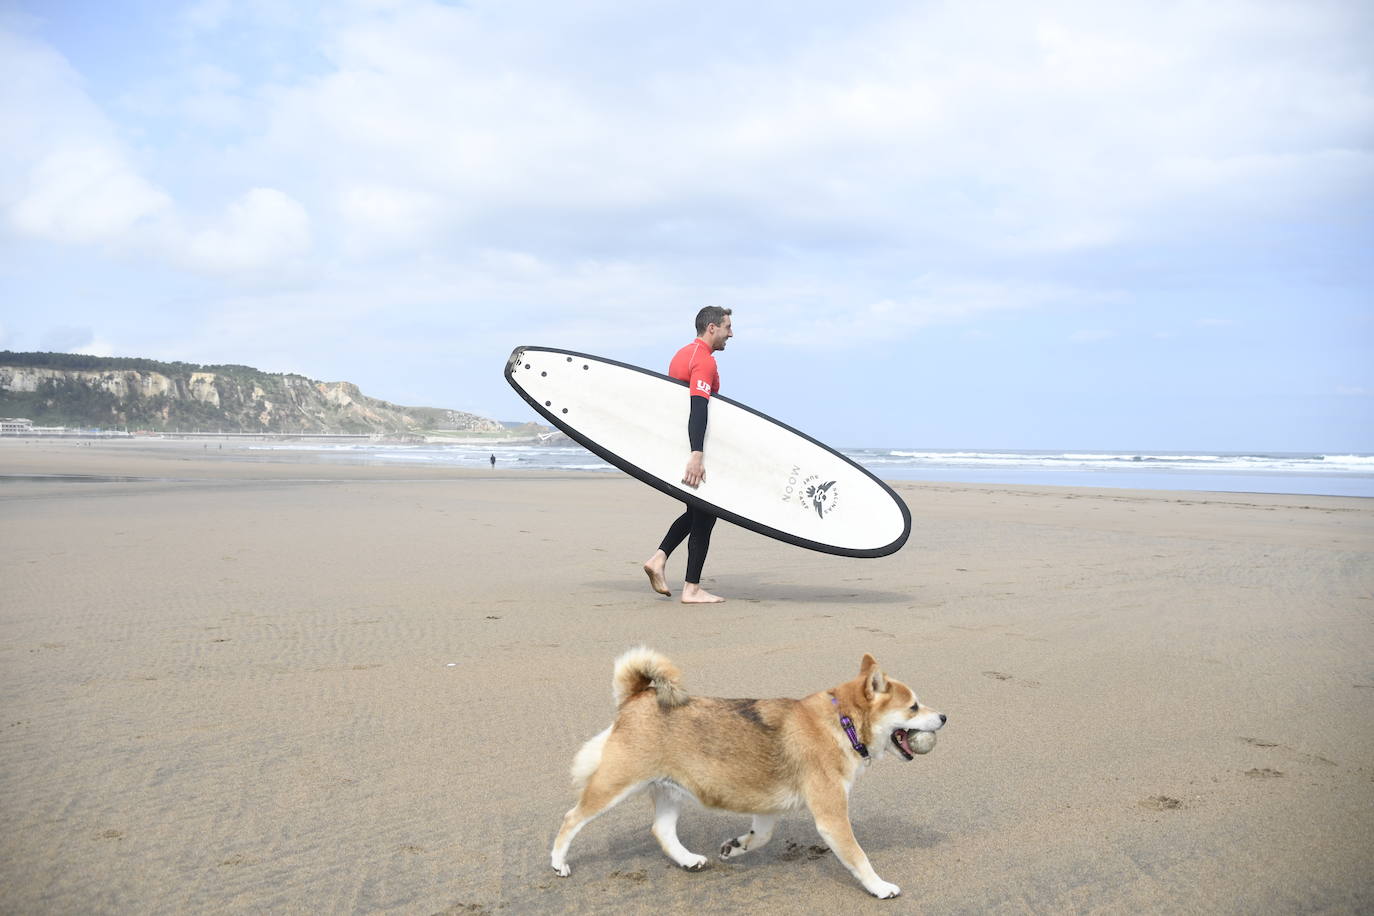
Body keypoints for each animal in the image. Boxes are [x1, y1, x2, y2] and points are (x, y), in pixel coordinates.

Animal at [546, 648, 945, 900]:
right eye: (913, 707)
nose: (943, 716)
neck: (842, 722)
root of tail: (637, 697)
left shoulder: (767, 808)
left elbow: (761, 837)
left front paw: (736, 847)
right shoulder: (831, 816)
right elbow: (859, 858)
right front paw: (880, 887)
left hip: (671, 790)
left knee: (662, 831)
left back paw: (688, 860)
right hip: (614, 785)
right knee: (570, 818)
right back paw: (558, 862)